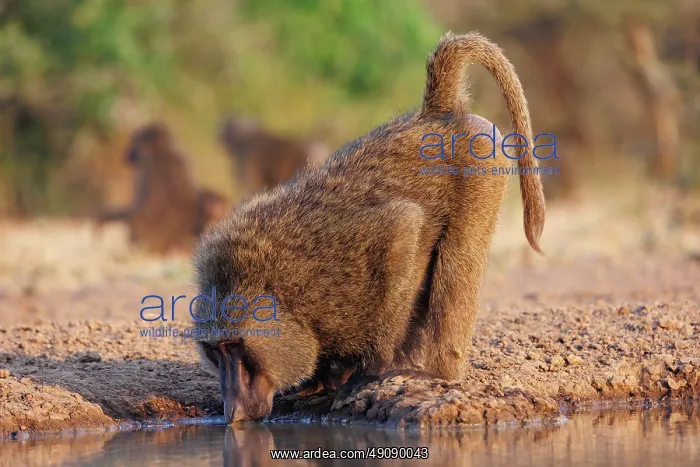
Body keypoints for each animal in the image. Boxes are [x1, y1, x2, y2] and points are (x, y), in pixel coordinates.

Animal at [96, 123, 229, 254]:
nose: (126, 153)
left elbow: (136, 207)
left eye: (133, 142)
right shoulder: (183, 158)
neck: (160, 150)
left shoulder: (144, 167)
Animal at [191, 31, 546, 424]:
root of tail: (436, 114)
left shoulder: (349, 261)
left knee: (457, 266)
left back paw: (436, 374)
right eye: (215, 351)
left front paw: (367, 374)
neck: (283, 291)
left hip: (482, 167)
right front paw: (318, 381)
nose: (232, 412)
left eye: (234, 346)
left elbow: (404, 225)